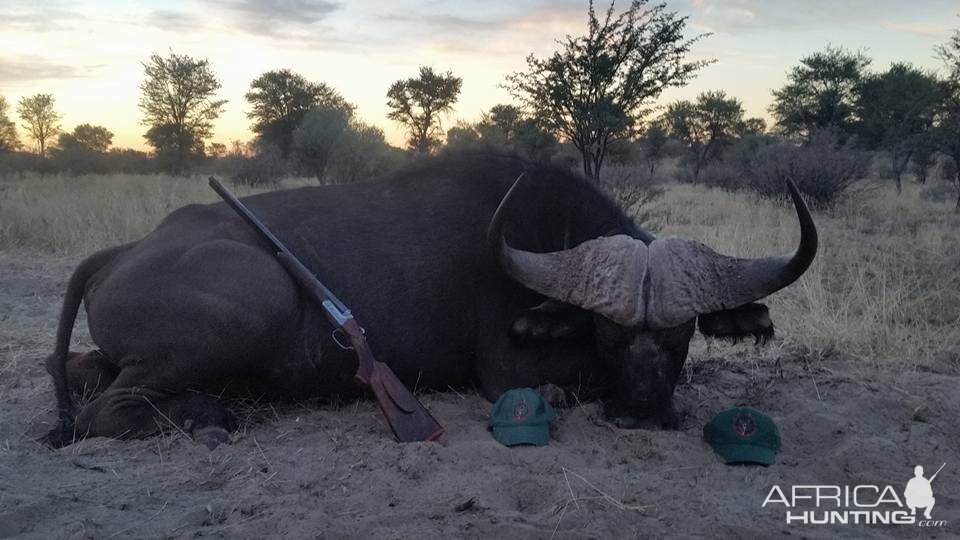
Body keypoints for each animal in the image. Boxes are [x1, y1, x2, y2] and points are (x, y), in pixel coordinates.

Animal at [41, 152, 812, 448]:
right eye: (608, 334)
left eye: (684, 336)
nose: (645, 412)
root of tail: (123, 252)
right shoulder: (509, 371)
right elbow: (558, 389)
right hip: (254, 301)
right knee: (109, 410)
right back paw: (208, 417)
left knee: (77, 372)